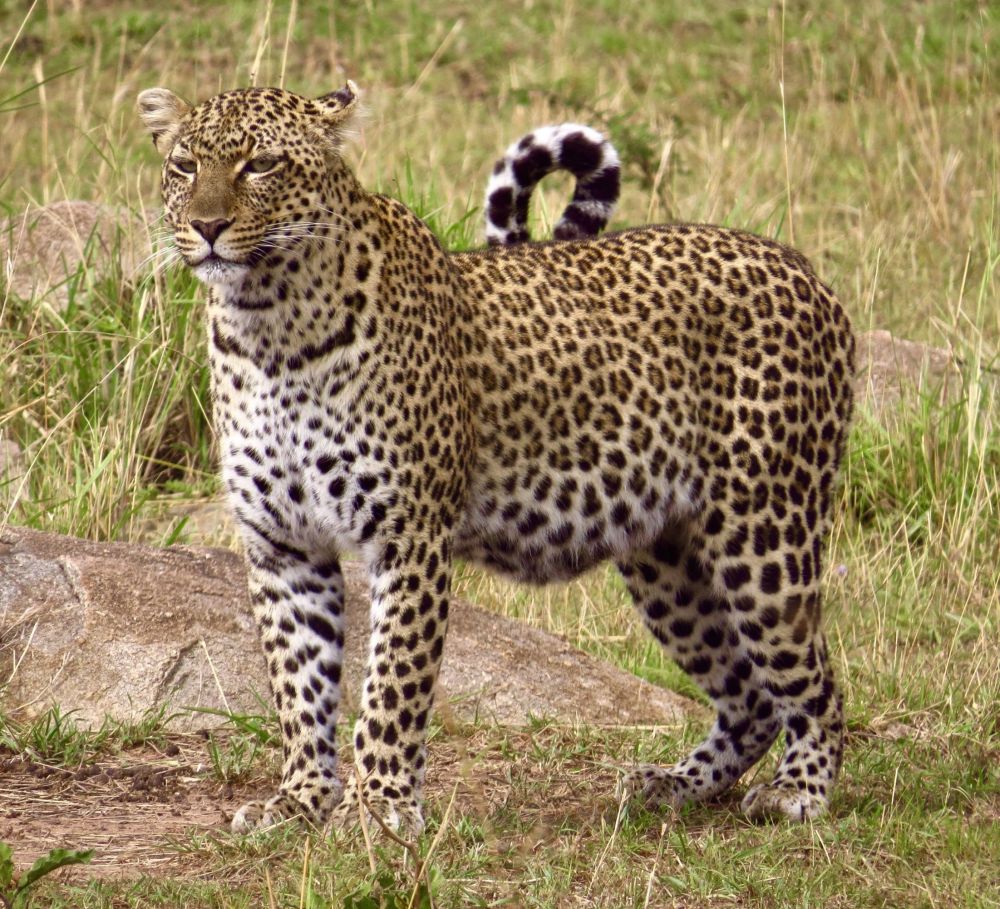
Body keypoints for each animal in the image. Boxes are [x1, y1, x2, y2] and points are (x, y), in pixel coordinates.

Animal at [137, 82, 855, 835]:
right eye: (185, 165)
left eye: (263, 164)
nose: (207, 226)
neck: (266, 323)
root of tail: (802, 267)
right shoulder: (283, 545)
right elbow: (299, 686)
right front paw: (301, 799)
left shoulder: (409, 536)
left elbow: (392, 683)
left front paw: (377, 810)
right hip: (666, 559)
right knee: (748, 695)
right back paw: (674, 784)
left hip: (765, 536)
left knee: (815, 682)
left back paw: (799, 789)